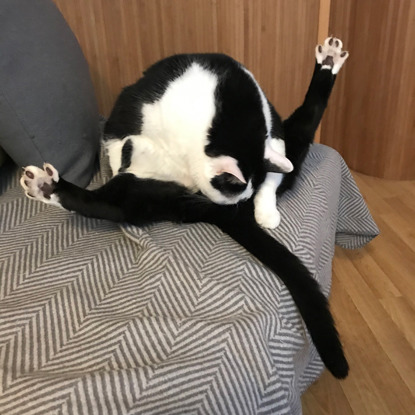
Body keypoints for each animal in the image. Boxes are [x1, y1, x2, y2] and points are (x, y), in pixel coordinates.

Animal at [20, 37, 352, 378]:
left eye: (241, 198)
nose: (237, 207)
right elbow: (123, 144)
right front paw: (123, 152)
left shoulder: (268, 129)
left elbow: (271, 174)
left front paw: (265, 210)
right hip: (141, 193)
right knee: (106, 201)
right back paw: (49, 185)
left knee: (299, 133)